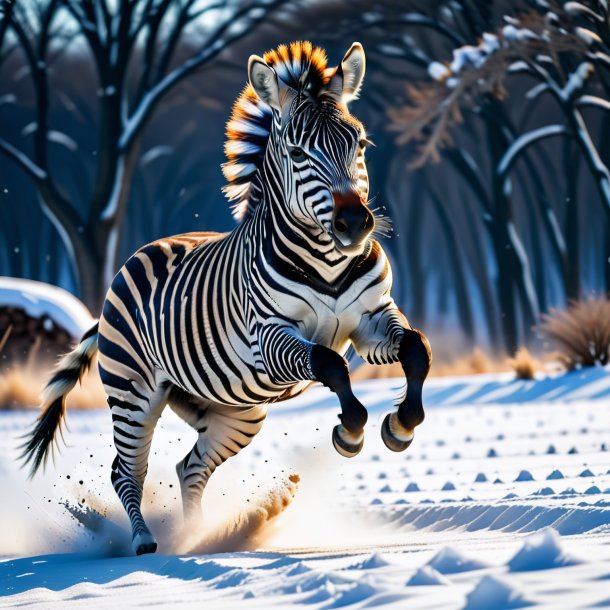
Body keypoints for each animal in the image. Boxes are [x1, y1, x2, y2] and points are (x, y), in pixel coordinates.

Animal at [21, 41, 430, 556]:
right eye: (297, 151)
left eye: (359, 143)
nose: (354, 224)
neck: (329, 262)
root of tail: (138, 255)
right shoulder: (268, 337)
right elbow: (331, 365)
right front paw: (350, 432)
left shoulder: (372, 319)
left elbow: (416, 349)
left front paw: (401, 425)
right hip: (133, 393)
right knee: (125, 469)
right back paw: (145, 541)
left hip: (237, 412)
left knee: (189, 467)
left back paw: (200, 538)